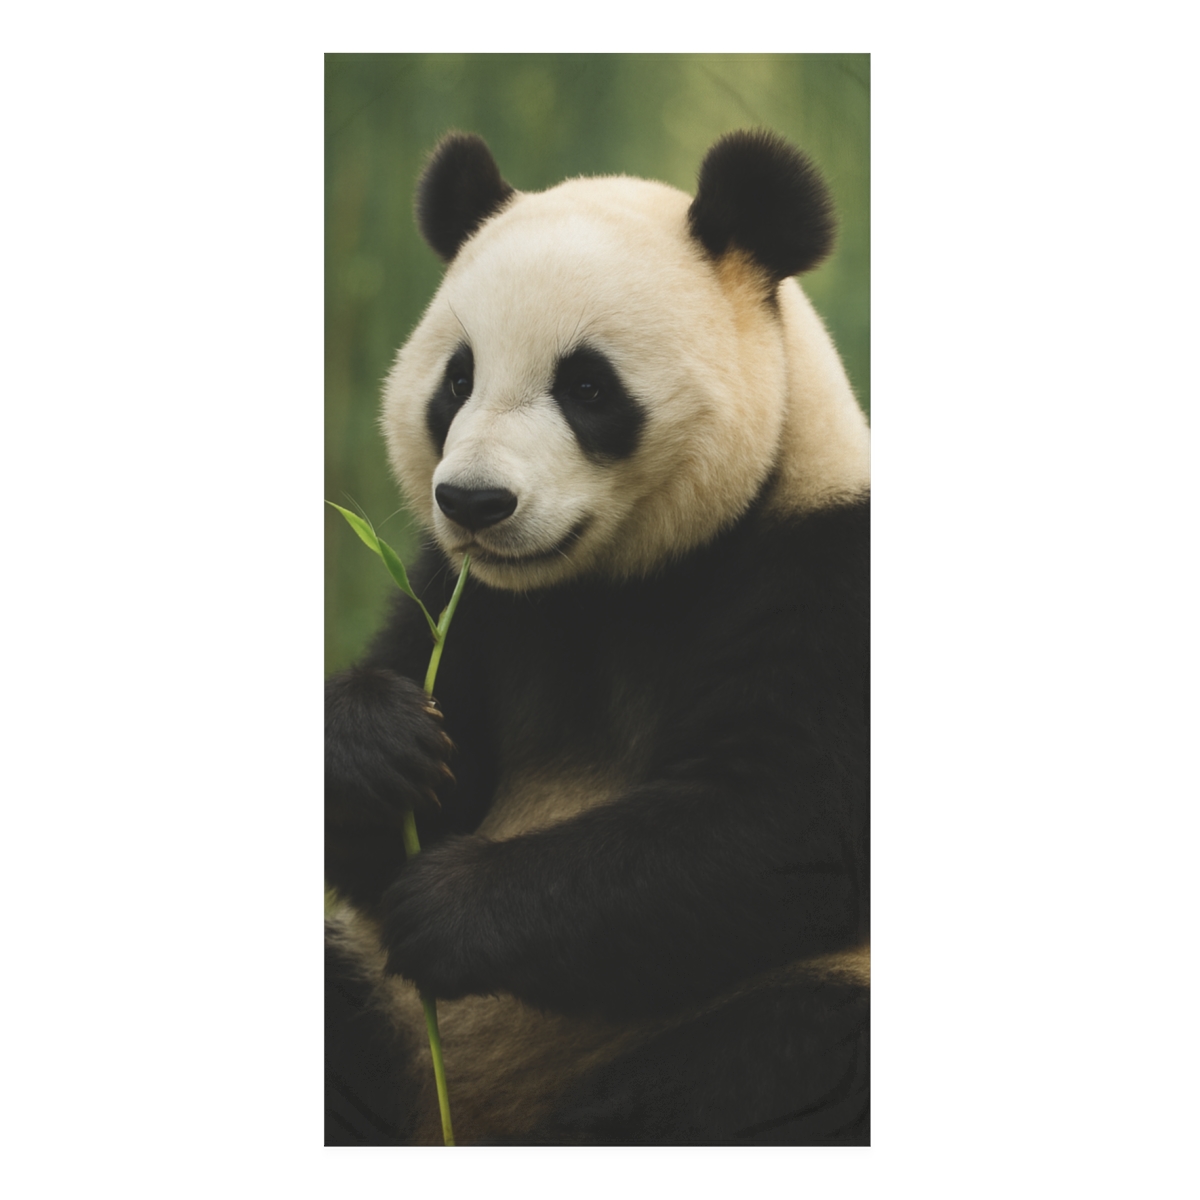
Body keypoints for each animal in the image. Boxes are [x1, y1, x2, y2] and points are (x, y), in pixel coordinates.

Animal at [325, 129, 871, 1146]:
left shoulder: (824, 570)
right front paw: (382, 740)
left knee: (777, 1057)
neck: (607, 588)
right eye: (457, 378)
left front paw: (446, 904)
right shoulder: (470, 606)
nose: (474, 502)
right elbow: (384, 835)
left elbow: (782, 820)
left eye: (586, 386)